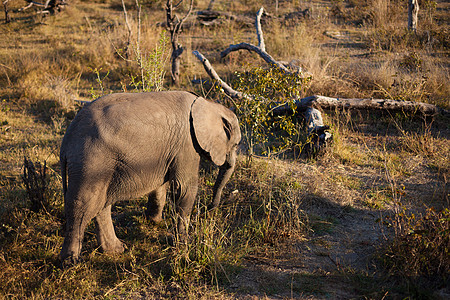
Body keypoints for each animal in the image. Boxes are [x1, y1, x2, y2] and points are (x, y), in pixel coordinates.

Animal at [62, 90, 243, 264]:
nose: (207, 209)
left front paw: (155, 222)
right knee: (82, 205)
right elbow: (183, 189)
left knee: (101, 204)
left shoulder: (167, 152)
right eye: (236, 145)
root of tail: (67, 138)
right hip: (91, 161)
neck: (207, 104)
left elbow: (160, 186)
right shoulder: (187, 145)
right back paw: (71, 262)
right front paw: (184, 243)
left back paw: (116, 250)